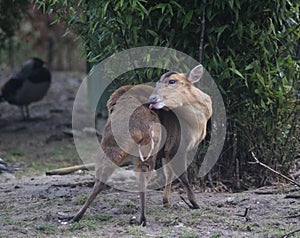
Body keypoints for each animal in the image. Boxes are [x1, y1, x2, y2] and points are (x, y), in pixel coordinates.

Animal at [60, 64, 211, 226]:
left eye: (172, 81)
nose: (153, 98)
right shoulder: (177, 147)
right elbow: (182, 175)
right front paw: (195, 203)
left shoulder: (166, 152)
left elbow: (169, 174)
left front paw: (167, 202)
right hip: (148, 149)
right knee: (142, 179)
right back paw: (143, 218)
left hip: (111, 144)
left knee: (102, 179)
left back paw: (75, 217)